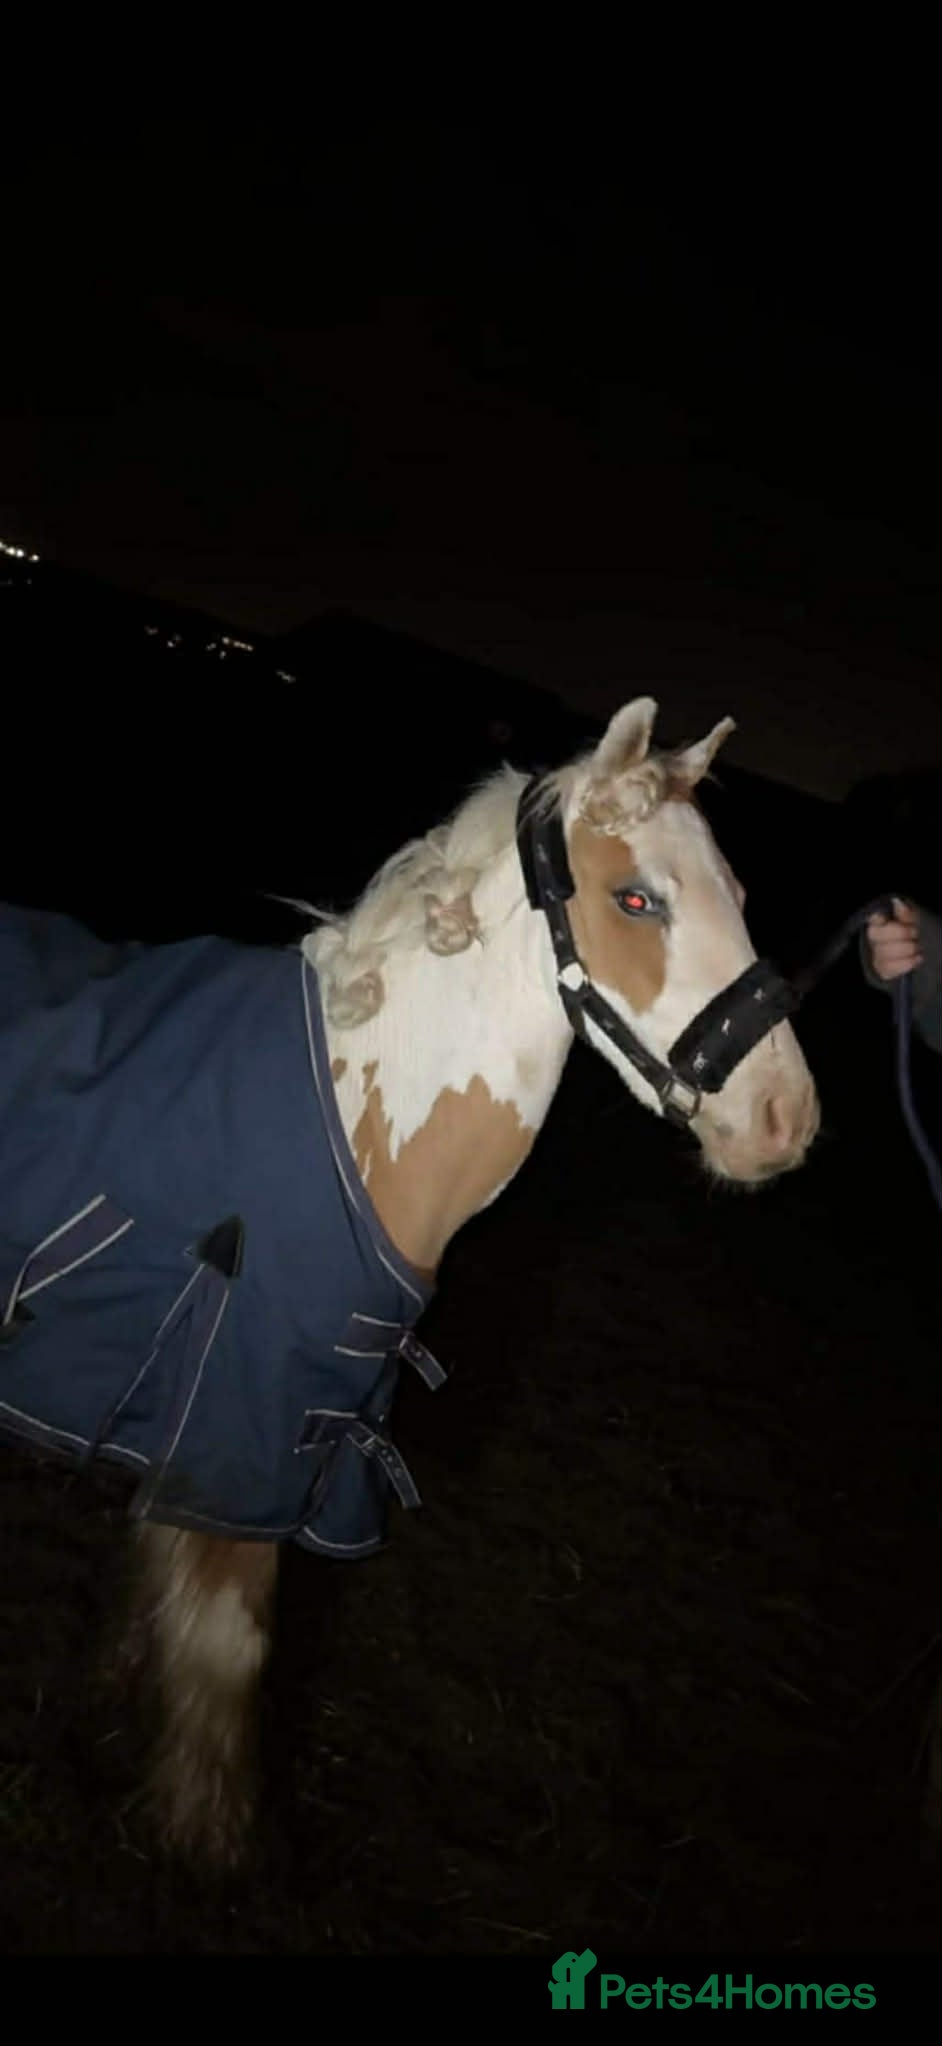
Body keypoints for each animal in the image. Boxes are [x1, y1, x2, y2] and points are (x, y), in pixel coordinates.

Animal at [0, 697, 819, 1866]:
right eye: (637, 899)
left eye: (741, 900)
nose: (785, 1123)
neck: (358, 1114)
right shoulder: (250, 1446)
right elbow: (226, 1657)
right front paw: (206, 1851)